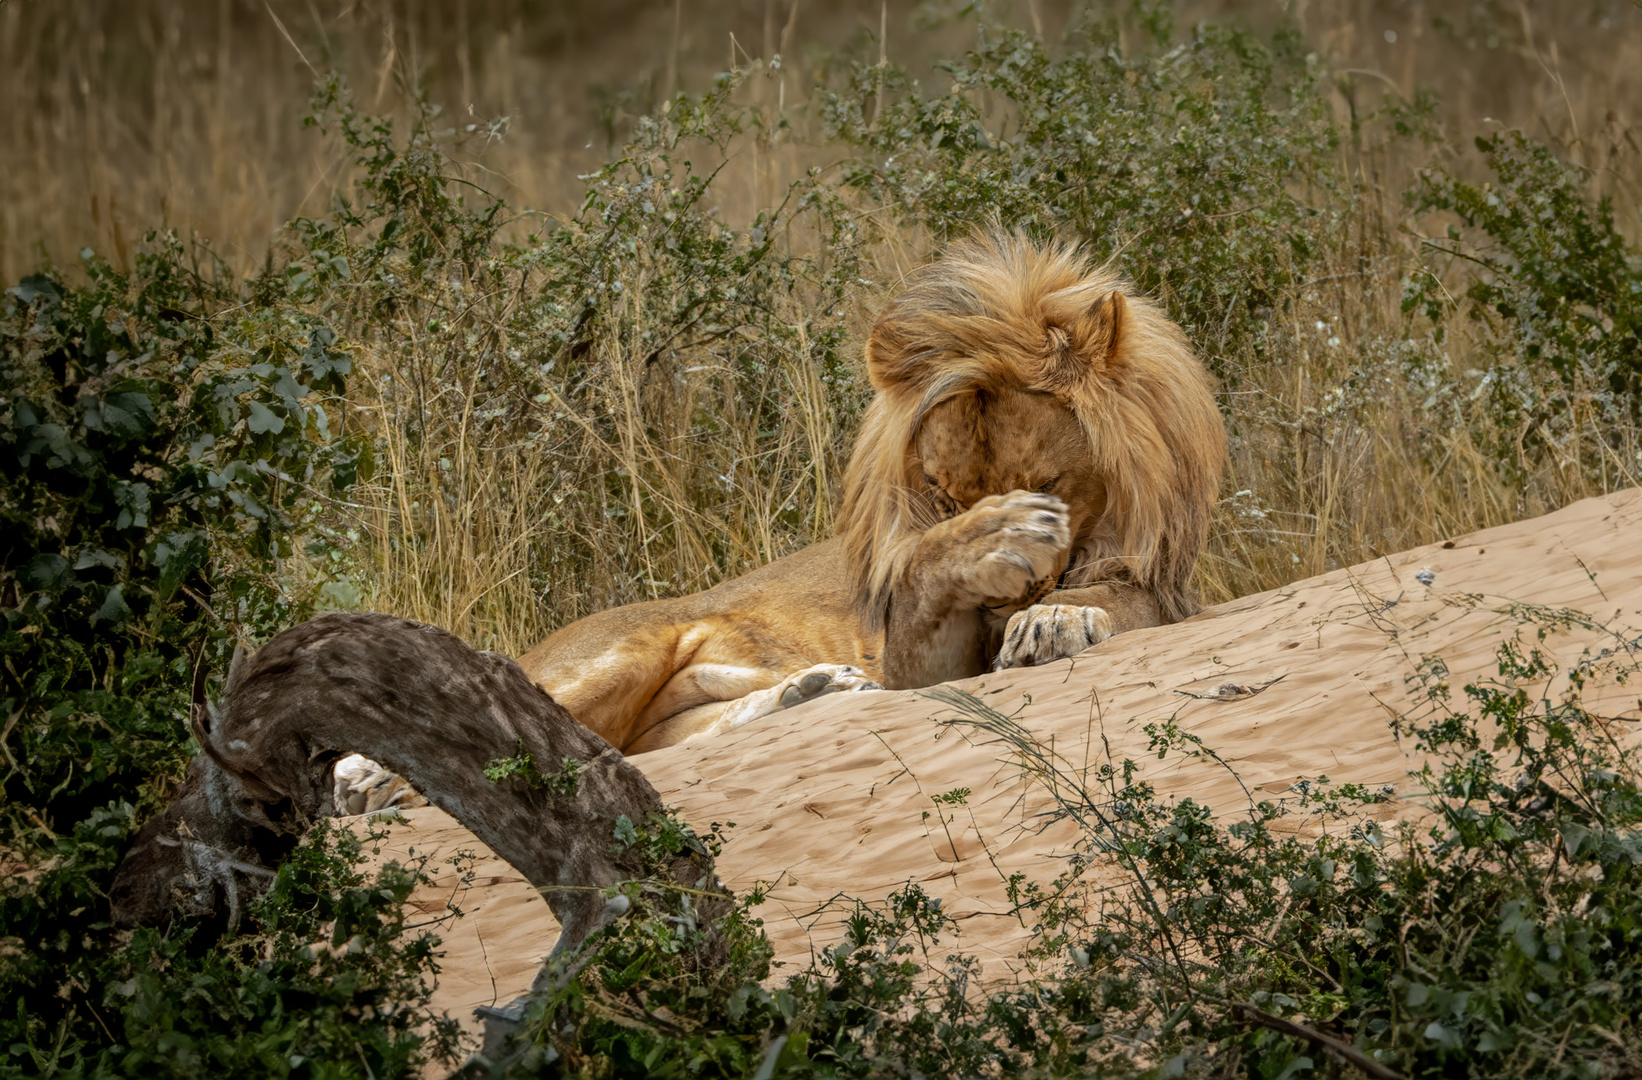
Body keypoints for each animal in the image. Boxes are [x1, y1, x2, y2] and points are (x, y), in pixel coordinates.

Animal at [359, 231, 1228, 761]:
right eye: (943, 497)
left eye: (1048, 484)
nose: (1000, 604)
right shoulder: (917, 659)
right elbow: (928, 575)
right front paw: (996, 555)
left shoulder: (1157, 586)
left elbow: (1114, 603)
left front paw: (1054, 617)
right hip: (618, 652)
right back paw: (366, 779)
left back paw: (814, 691)